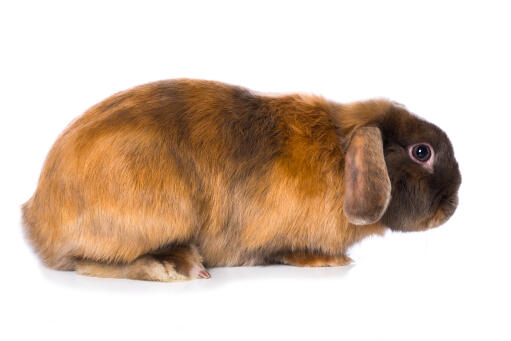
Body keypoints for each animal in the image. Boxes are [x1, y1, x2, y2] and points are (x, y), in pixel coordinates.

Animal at [20, 79, 462, 282]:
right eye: (421, 152)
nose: (454, 203)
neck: (338, 155)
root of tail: (37, 218)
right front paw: (329, 260)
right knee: (88, 262)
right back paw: (174, 267)